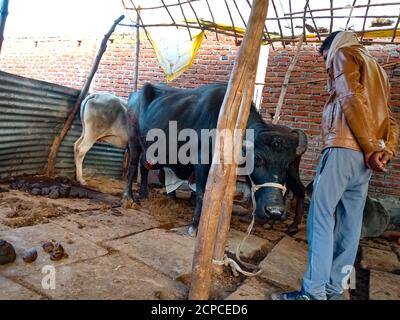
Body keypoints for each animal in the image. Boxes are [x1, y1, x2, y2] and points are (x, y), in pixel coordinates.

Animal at [123, 84, 308, 236]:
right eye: (258, 158)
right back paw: (129, 197)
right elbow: (202, 193)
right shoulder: (201, 163)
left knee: (144, 166)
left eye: (288, 164)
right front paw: (195, 226)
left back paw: (143, 194)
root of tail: (135, 95)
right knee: (132, 165)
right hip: (134, 141)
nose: (275, 211)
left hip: (150, 149)